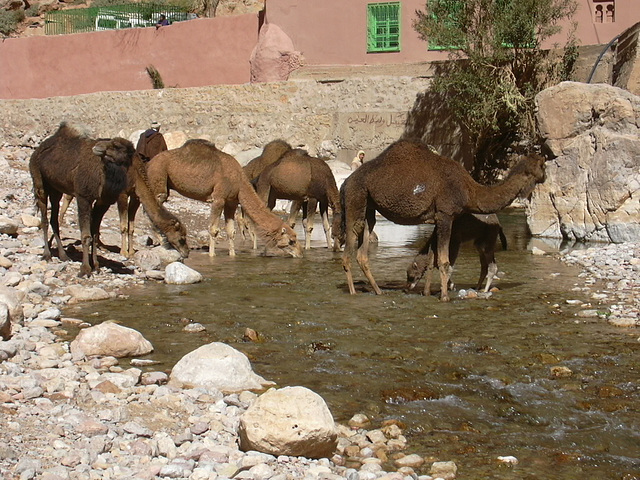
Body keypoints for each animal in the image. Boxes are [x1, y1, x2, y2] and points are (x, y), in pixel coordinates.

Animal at [29, 122, 189, 276]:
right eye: (182, 237)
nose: (186, 252)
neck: (134, 174)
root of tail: (39, 149)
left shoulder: (106, 200)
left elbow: (96, 232)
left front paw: (97, 266)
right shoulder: (87, 196)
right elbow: (89, 234)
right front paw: (85, 269)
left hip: (56, 188)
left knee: (54, 217)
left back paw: (63, 255)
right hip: (38, 180)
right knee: (44, 216)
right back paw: (47, 254)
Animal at [146, 139, 304, 258]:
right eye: (291, 241)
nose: (301, 253)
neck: (240, 182)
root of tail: (149, 163)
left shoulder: (231, 202)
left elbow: (230, 231)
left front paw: (232, 255)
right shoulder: (218, 198)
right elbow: (213, 229)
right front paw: (212, 256)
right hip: (158, 176)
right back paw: (161, 241)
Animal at [340, 137, 544, 300]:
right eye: (542, 164)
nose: (544, 177)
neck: (469, 191)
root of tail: (346, 182)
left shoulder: (438, 218)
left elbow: (433, 259)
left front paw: (428, 292)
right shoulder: (446, 214)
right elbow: (444, 262)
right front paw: (445, 297)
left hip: (369, 207)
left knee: (362, 251)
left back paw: (378, 290)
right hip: (355, 198)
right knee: (348, 247)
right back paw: (353, 291)